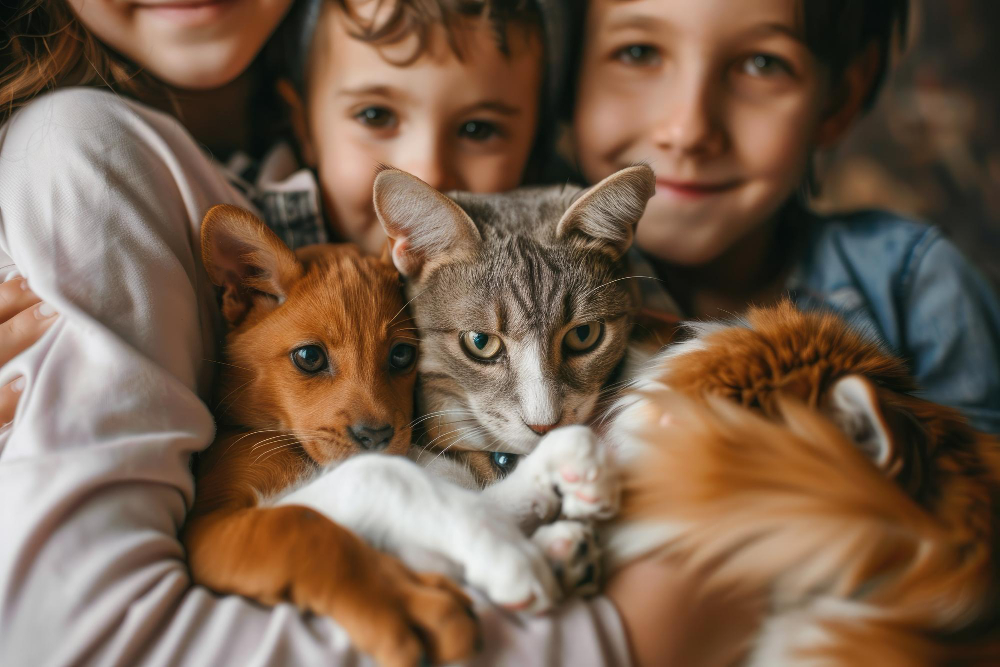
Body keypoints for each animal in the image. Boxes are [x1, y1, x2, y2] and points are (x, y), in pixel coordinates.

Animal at [185, 206, 480, 667]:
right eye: (309, 357)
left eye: (402, 354)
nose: (376, 436)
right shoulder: (207, 522)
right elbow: (302, 524)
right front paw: (395, 601)